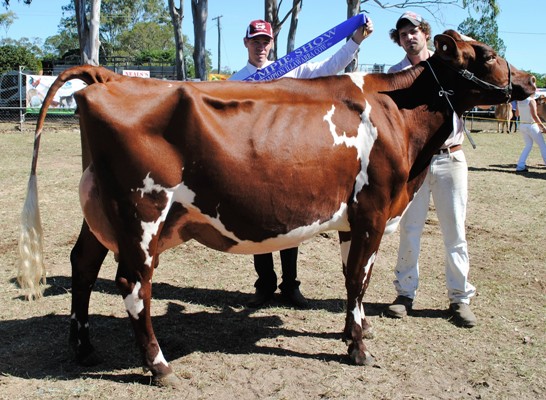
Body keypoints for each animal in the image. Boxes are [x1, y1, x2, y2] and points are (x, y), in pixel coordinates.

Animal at [18, 31, 536, 388]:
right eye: (488, 55)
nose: (531, 80)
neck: (399, 114)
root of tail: (108, 77)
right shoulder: (372, 211)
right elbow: (357, 279)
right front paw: (358, 349)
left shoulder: (353, 218)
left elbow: (355, 279)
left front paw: (356, 330)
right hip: (142, 213)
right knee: (132, 284)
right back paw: (159, 366)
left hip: (101, 212)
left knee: (83, 265)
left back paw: (84, 348)